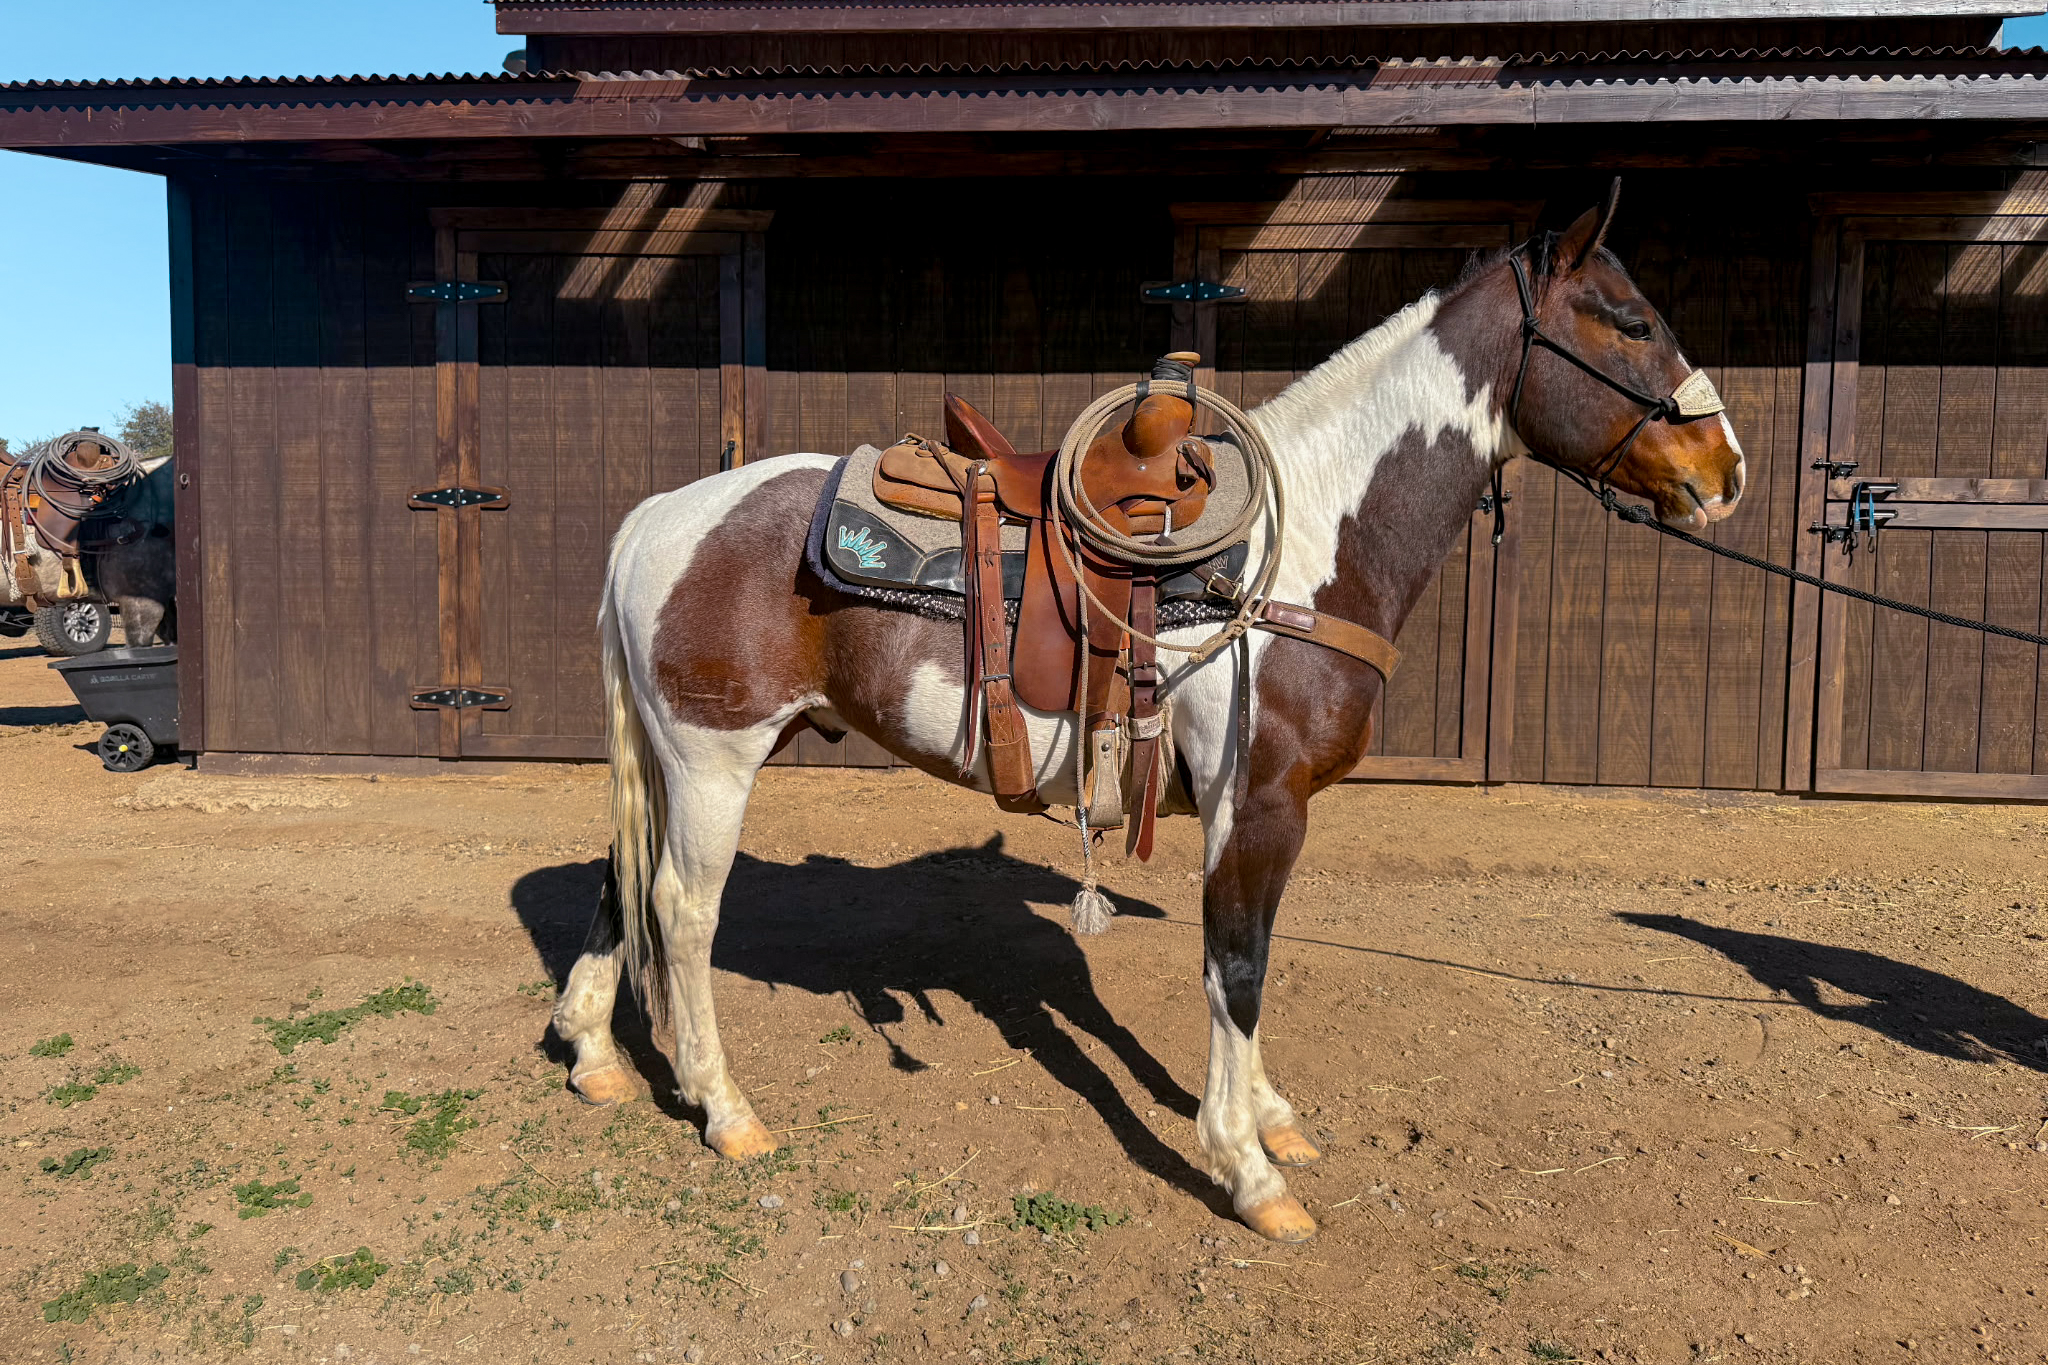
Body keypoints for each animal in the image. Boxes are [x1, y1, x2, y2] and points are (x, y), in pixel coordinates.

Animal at [547, 188, 1746, 1243]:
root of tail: (660, 515)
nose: (1726, 470)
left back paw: (596, 1054)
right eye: (1630, 320)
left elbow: (1247, 959)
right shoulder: (1256, 801)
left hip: (673, 758)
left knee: (622, 875)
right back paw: (725, 1109)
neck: (1295, 550)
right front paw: (1248, 1169)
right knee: (682, 910)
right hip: (713, 760)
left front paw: (1268, 1118)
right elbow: (1237, 965)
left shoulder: (1252, 810)